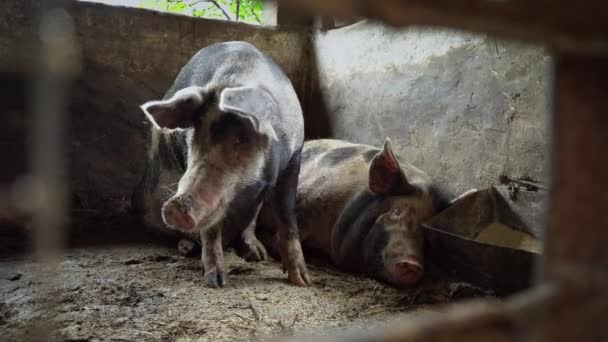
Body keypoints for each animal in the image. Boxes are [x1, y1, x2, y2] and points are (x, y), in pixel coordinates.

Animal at [129, 42, 308, 288]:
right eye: (193, 138)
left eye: (241, 138)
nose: (175, 206)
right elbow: (211, 229)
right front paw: (215, 282)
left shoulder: (293, 160)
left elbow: (287, 217)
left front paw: (302, 281)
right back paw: (187, 248)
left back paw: (257, 253)